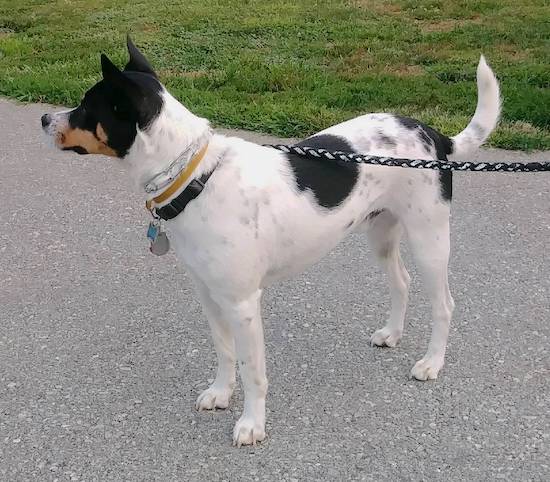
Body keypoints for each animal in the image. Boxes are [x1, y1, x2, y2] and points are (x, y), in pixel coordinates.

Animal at [41, 38, 502, 448]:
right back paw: (391, 333)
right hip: (381, 233)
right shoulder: (209, 294)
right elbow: (224, 352)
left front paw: (252, 425)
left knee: (444, 304)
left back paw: (431, 363)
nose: (44, 119)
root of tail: (435, 136)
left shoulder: (244, 303)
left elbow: (252, 370)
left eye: (86, 106)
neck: (196, 175)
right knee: (401, 282)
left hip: (429, 239)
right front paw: (220, 393)